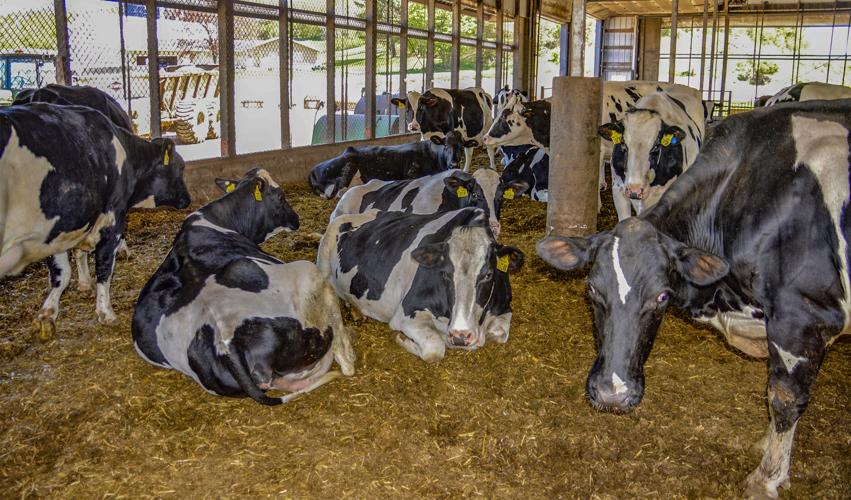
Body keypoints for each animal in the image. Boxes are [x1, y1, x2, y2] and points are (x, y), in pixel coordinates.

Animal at [0, 103, 191, 339]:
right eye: (181, 166)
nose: (188, 198)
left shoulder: (61, 227)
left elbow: (64, 271)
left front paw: (49, 313)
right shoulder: (111, 218)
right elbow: (104, 266)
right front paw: (105, 312)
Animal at [133, 168, 355, 405]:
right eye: (280, 196)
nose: (296, 220)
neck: (216, 220)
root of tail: (227, 345)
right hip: (309, 274)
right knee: (340, 346)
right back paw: (349, 355)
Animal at [308, 131, 474, 199]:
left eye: (461, 146)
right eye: (445, 145)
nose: (454, 163)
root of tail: (313, 170)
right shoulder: (411, 173)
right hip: (348, 167)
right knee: (338, 192)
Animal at [318, 207, 524, 362]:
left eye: (488, 274)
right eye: (444, 273)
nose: (460, 336)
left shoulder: (504, 307)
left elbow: (499, 334)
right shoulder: (406, 313)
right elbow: (435, 348)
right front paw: (403, 339)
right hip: (322, 264)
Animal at [536, 99, 851, 498]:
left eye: (661, 296)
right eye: (591, 288)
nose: (612, 394)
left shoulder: (801, 317)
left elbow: (783, 397)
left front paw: (767, 478)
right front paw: (766, 447)